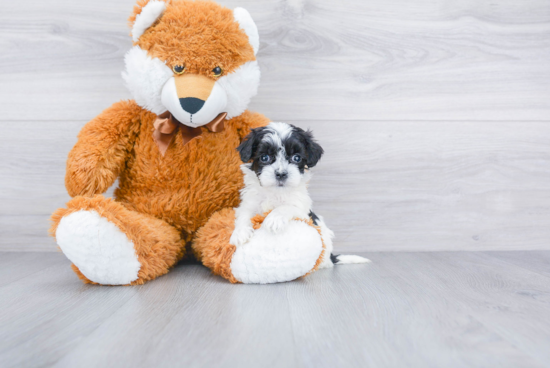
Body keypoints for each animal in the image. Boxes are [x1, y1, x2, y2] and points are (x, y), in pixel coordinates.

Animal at [229, 122, 370, 268]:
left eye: (296, 158)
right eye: (264, 157)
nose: (281, 174)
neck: (276, 193)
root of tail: (331, 258)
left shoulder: (303, 211)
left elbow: (287, 207)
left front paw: (274, 218)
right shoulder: (250, 202)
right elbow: (244, 213)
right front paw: (240, 233)